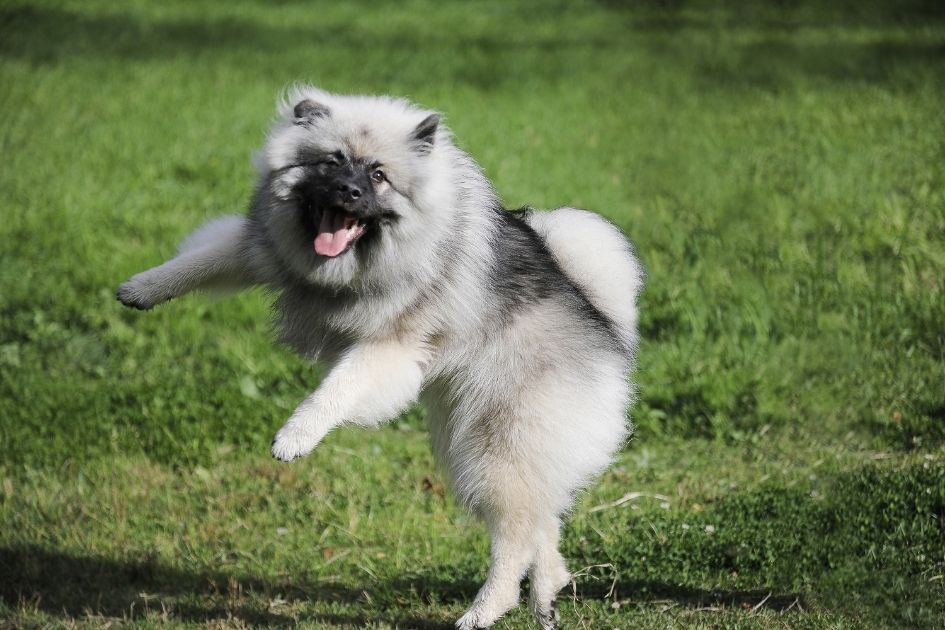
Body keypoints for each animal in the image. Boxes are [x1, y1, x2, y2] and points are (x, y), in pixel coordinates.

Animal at [118, 85, 640, 630]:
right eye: (332, 162)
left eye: (378, 175)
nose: (348, 191)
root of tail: (608, 333)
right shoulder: (266, 251)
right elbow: (204, 259)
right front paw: (142, 288)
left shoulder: (387, 347)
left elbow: (335, 389)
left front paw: (295, 436)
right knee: (544, 525)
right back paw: (547, 596)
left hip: (497, 453)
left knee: (517, 538)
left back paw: (483, 611)